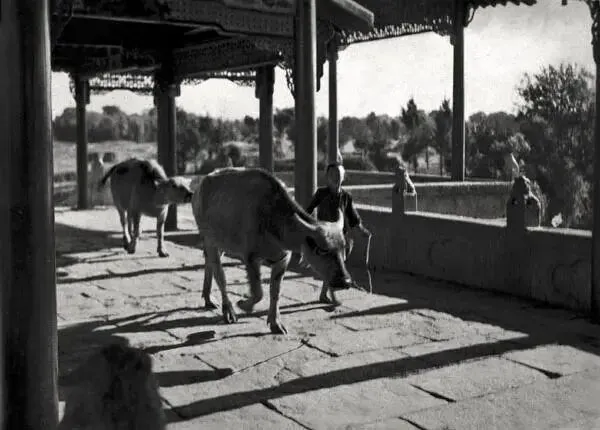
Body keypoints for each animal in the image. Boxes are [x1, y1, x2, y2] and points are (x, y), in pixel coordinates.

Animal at [192, 167, 354, 335]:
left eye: (344, 249)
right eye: (322, 250)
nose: (346, 281)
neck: (272, 219)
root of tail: (201, 186)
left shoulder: (283, 259)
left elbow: (275, 292)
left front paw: (276, 323)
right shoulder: (251, 258)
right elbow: (258, 292)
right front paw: (243, 304)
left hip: (222, 244)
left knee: (209, 263)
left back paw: (208, 298)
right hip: (210, 239)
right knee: (219, 275)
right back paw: (228, 310)